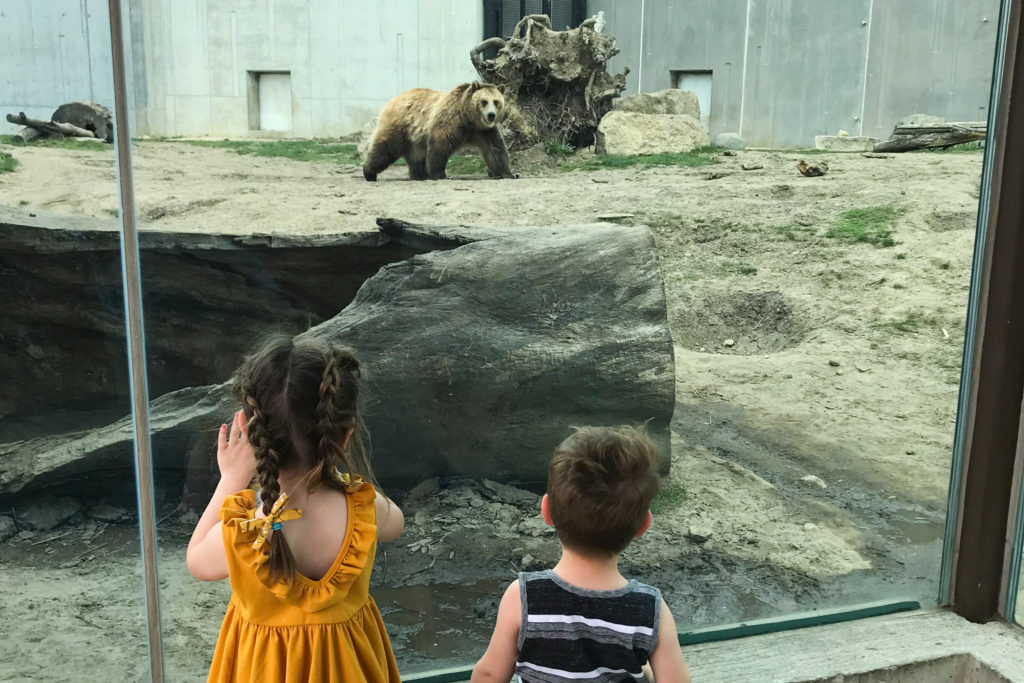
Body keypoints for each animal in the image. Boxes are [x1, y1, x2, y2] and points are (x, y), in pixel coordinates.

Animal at [364, 81, 516, 181]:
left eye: (496, 102)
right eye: (484, 101)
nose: (491, 115)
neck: (468, 118)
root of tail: (392, 100)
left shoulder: (483, 131)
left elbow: (495, 150)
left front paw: (509, 173)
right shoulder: (450, 121)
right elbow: (440, 145)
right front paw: (439, 174)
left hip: (415, 138)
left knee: (416, 156)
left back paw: (419, 175)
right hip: (401, 125)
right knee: (385, 148)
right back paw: (369, 172)